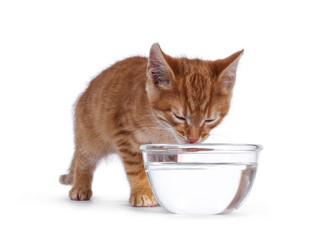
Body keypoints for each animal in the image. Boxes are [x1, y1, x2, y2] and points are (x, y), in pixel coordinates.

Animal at [59, 43, 242, 206]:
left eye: (210, 120)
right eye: (179, 117)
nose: (193, 139)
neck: (161, 128)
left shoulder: (168, 149)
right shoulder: (125, 137)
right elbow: (136, 168)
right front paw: (143, 192)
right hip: (89, 135)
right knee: (83, 157)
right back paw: (80, 186)